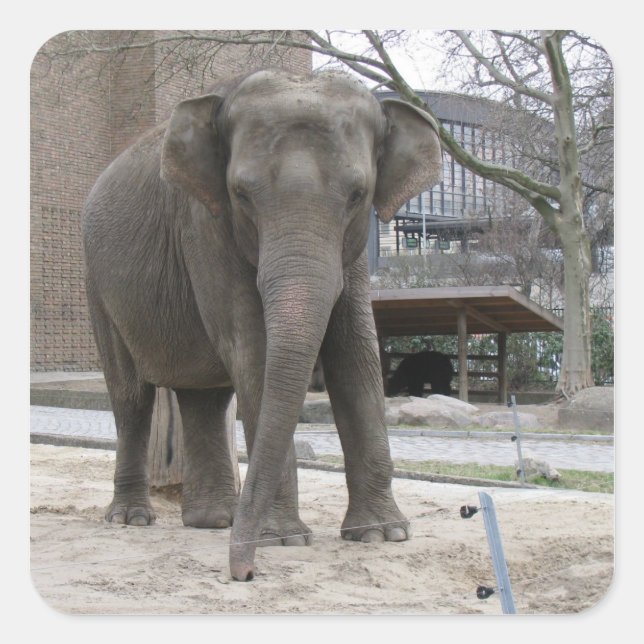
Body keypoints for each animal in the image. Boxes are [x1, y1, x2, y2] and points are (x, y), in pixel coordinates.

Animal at [82, 68, 442, 581]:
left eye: (358, 196)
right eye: (241, 195)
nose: (244, 572)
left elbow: (356, 354)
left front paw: (382, 534)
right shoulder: (204, 226)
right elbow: (255, 350)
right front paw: (284, 540)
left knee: (205, 398)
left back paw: (215, 521)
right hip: (98, 288)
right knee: (132, 397)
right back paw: (132, 519)